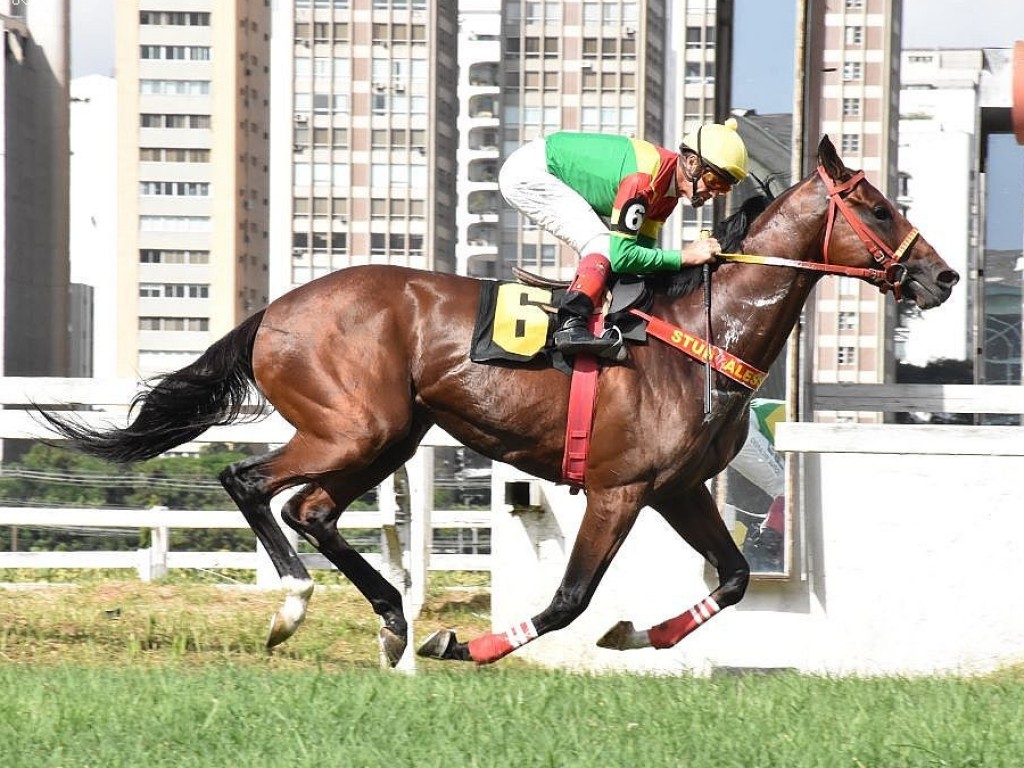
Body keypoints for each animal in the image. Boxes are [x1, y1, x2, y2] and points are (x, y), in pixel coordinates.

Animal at [39, 138, 958, 667]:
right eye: (878, 207)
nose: (942, 275)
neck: (699, 334)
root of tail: (276, 309)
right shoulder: (619, 490)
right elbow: (568, 599)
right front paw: (468, 644)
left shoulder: (678, 489)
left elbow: (732, 579)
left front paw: (641, 635)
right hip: (354, 427)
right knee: (251, 483)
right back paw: (297, 607)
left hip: (391, 437)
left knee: (313, 510)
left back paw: (389, 621)